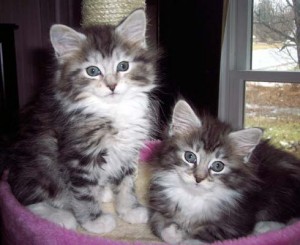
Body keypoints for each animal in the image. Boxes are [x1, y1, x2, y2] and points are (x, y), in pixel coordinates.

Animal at [5, 8, 158, 234]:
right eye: (92, 71)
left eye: (123, 66)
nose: (112, 86)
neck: (113, 110)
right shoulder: (79, 157)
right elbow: (84, 193)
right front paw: (95, 221)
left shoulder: (128, 151)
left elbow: (125, 184)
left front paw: (129, 209)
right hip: (39, 165)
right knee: (27, 198)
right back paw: (61, 216)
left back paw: (103, 191)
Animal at [149, 99, 300, 243]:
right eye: (190, 157)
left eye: (218, 166)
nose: (198, 178)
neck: (194, 197)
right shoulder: (159, 208)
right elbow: (160, 226)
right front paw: (175, 233)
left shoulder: (234, 223)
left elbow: (200, 237)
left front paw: (186, 238)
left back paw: (263, 227)